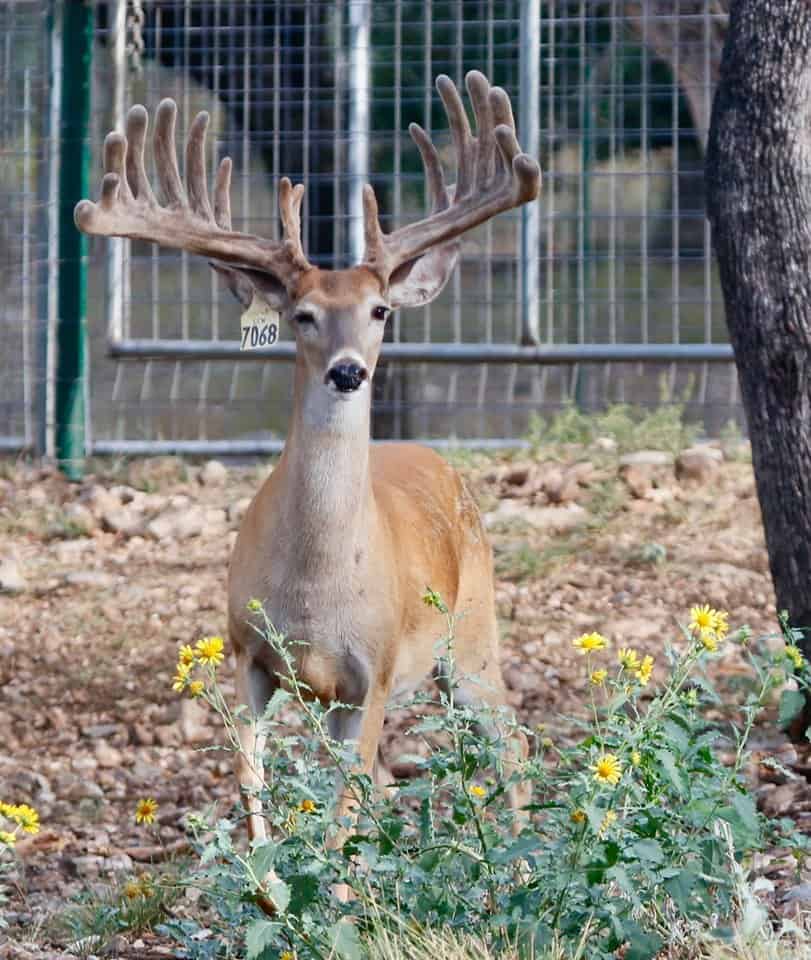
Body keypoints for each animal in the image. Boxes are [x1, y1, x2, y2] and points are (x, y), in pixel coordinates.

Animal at [75, 70, 541, 914]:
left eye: (380, 309)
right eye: (302, 315)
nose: (348, 370)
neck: (317, 589)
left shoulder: (375, 671)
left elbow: (344, 798)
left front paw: (329, 891)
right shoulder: (249, 653)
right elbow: (252, 776)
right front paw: (273, 890)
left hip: (472, 636)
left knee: (507, 742)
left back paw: (521, 875)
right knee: (389, 778)